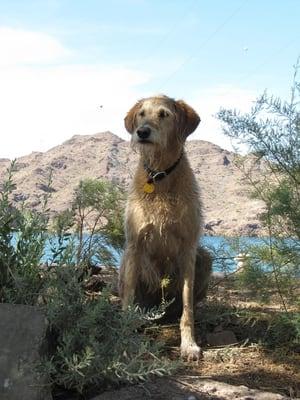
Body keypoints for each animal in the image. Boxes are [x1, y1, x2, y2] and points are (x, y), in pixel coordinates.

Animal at [118, 95, 212, 360]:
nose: (142, 132)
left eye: (164, 114)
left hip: (205, 256)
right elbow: (128, 296)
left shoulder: (189, 248)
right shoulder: (134, 244)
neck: (160, 175)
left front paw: (189, 344)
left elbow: (188, 308)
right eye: (141, 114)